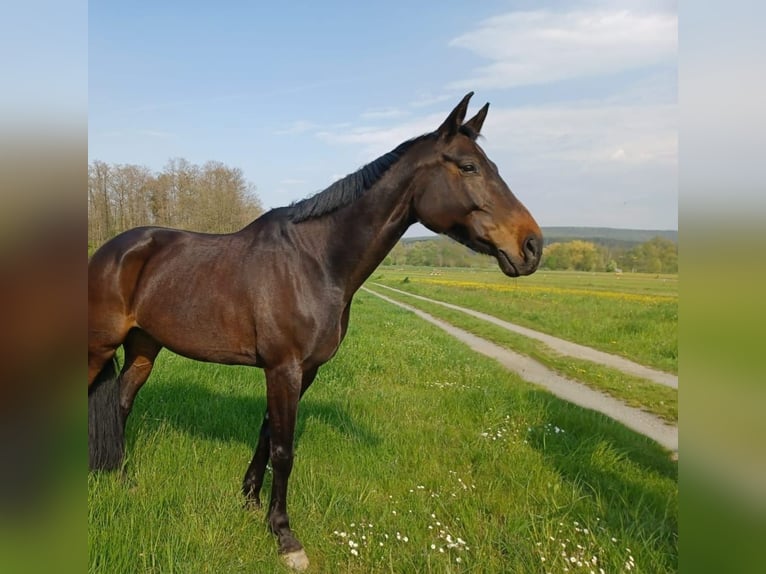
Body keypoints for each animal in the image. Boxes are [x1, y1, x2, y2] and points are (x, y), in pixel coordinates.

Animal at [90, 94, 544, 572]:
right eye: (469, 167)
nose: (532, 246)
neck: (316, 262)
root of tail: (109, 251)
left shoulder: (303, 371)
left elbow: (268, 435)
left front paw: (251, 502)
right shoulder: (283, 368)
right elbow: (284, 451)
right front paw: (285, 537)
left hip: (144, 347)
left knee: (120, 404)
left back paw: (120, 477)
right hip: (97, 345)